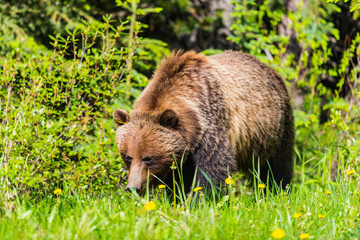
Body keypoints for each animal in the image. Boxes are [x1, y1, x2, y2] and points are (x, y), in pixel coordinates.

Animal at [114, 50, 294, 193]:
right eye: (128, 156)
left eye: (148, 158)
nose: (133, 188)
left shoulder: (211, 128)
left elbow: (211, 171)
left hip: (271, 131)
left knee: (275, 166)